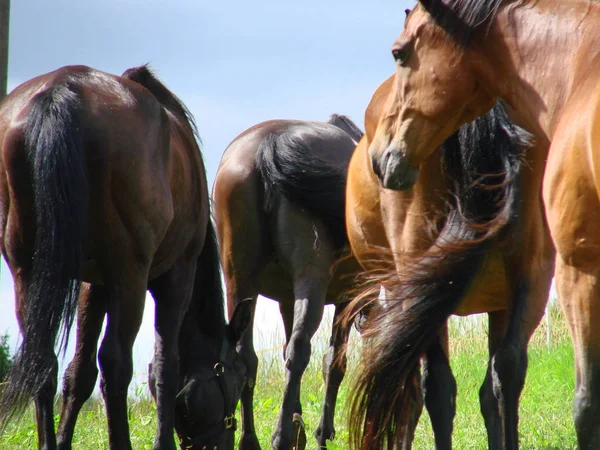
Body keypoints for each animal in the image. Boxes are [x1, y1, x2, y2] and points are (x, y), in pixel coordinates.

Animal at [0, 64, 251, 450]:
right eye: (235, 379)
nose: (223, 440)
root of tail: (63, 92)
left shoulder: (94, 284)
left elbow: (79, 372)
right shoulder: (177, 275)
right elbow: (165, 365)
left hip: (25, 269)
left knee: (44, 361)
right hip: (130, 274)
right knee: (116, 362)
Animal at [213, 115, 366, 450]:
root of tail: (269, 143)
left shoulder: (285, 300)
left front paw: (300, 424)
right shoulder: (347, 297)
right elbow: (333, 362)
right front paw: (320, 432)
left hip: (239, 281)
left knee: (246, 359)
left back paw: (251, 439)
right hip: (312, 279)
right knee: (300, 349)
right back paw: (282, 436)